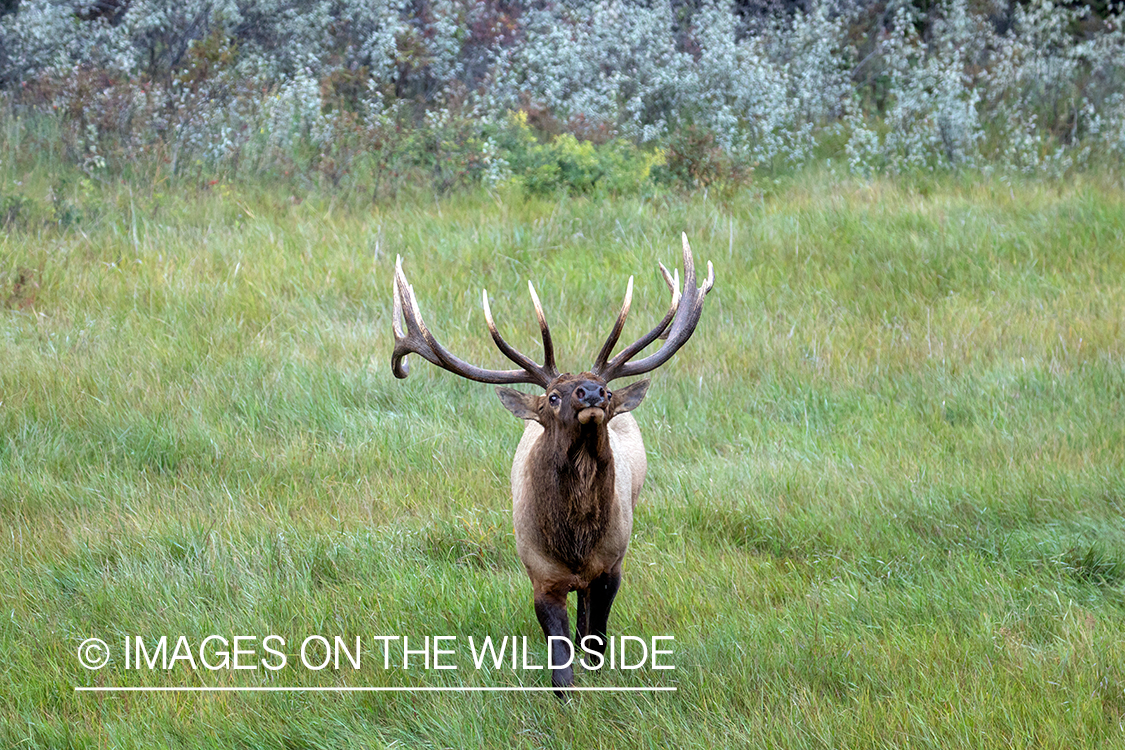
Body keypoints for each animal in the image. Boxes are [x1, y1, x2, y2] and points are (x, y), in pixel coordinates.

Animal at [391, 235, 715, 692]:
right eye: (552, 397)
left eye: (607, 394)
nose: (592, 392)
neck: (575, 543)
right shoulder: (539, 573)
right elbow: (560, 666)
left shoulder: (612, 563)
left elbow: (597, 641)